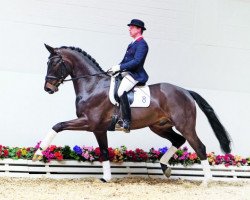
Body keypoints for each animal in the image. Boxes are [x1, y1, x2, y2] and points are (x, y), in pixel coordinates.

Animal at [32, 44, 231, 184]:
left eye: (55, 63)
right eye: (48, 63)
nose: (48, 88)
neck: (92, 85)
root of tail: (186, 91)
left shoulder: (89, 122)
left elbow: (58, 125)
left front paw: (38, 153)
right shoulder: (98, 128)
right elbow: (104, 151)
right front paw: (106, 178)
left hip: (185, 125)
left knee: (199, 147)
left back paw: (206, 181)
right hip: (159, 126)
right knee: (178, 140)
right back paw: (164, 166)